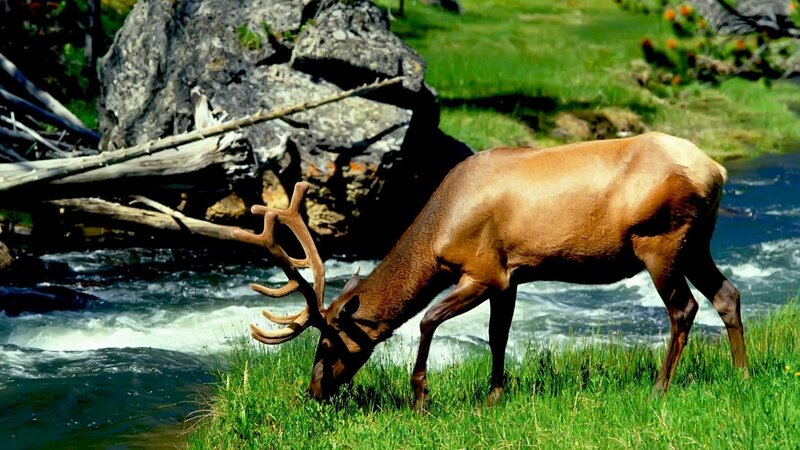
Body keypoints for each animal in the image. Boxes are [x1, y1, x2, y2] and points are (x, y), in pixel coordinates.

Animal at [231, 131, 749, 411]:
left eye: (327, 344)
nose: (314, 391)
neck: (439, 233)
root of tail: (717, 170)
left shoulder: (483, 272)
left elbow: (426, 320)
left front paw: (421, 398)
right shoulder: (512, 275)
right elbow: (498, 335)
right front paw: (494, 396)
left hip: (661, 241)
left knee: (684, 308)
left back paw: (659, 388)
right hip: (696, 243)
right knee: (727, 294)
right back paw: (743, 374)